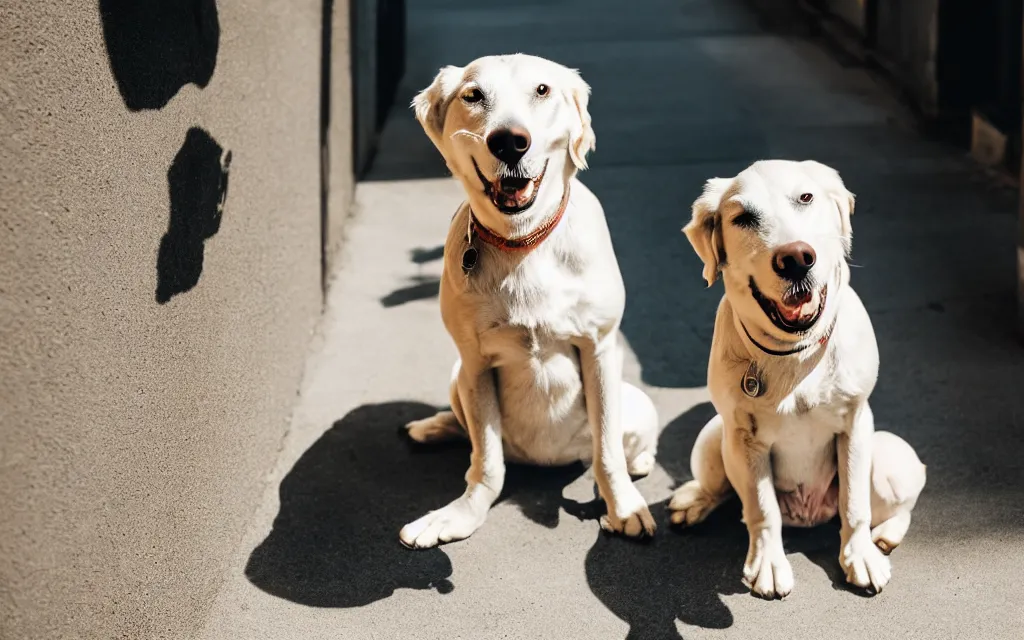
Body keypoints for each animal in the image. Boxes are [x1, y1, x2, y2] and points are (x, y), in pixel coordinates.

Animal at [395, 53, 659, 548]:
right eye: (473, 95)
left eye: (542, 90)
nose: (509, 141)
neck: (524, 242)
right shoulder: (475, 363)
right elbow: (486, 464)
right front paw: (460, 514)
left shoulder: (600, 348)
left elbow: (608, 450)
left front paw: (623, 507)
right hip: (458, 375)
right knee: (469, 431)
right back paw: (432, 426)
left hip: (634, 402)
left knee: (623, 446)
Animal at [671, 159, 929, 598]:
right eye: (742, 218)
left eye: (806, 198)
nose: (795, 258)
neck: (797, 353)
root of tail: (809, 513)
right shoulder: (744, 438)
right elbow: (761, 509)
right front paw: (768, 563)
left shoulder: (855, 423)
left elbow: (854, 505)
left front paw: (860, 555)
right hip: (713, 435)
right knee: (721, 490)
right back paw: (693, 502)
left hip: (889, 457)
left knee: (900, 508)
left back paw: (885, 536)